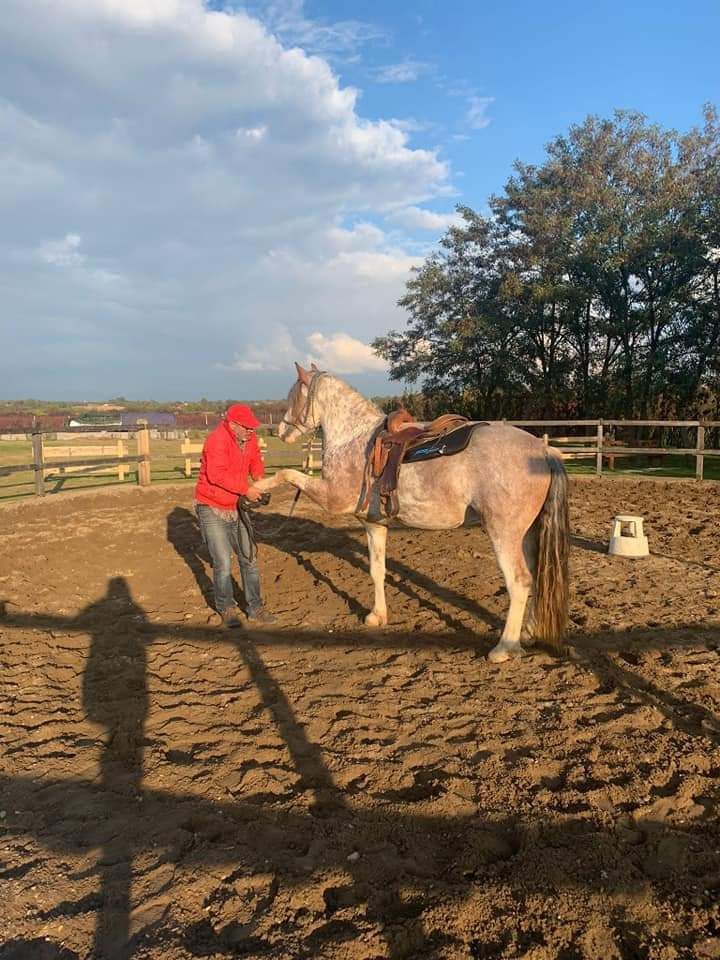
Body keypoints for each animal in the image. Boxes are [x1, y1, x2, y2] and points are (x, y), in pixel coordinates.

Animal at [256, 364, 572, 664]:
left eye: (292, 395)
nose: (281, 431)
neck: (353, 437)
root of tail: (544, 452)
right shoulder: (374, 524)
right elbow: (377, 570)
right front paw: (377, 616)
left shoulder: (332, 498)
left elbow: (288, 474)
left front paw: (256, 488)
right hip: (528, 534)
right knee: (535, 576)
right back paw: (528, 632)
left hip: (503, 534)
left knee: (519, 582)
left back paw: (504, 647)